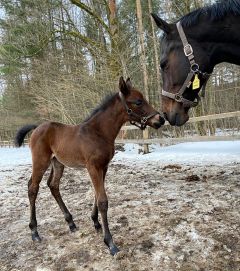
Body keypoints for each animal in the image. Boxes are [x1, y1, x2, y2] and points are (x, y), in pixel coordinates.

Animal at [14, 77, 165, 256]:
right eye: (138, 101)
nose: (161, 119)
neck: (98, 133)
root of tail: (37, 127)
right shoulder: (92, 167)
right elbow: (102, 201)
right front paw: (110, 243)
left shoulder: (103, 167)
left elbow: (97, 195)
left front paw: (96, 223)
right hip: (40, 161)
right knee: (33, 188)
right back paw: (34, 231)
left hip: (57, 163)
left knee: (53, 185)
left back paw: (70, 223)